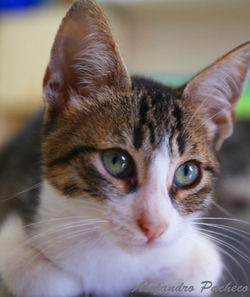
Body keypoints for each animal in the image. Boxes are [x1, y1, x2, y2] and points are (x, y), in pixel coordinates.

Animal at [0, 0, 249, 296]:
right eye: (116, 162)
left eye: (187, 172)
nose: (154, 227)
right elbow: (38, 275)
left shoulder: (199, 253)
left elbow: (196, 271)